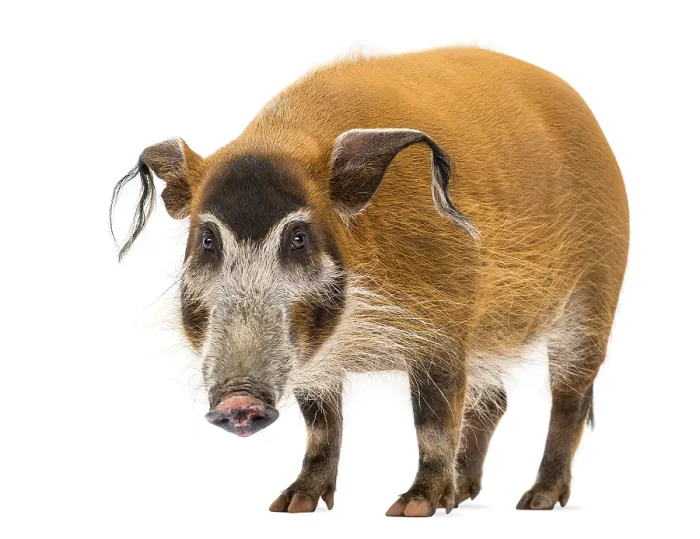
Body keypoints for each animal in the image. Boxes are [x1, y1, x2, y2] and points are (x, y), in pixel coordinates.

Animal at [110, 47, 629, 516]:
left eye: (298, 237)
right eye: (208, 239)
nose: (240, 399)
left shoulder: (442, 327)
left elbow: (434, 420)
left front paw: (412, 508)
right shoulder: (317, 362)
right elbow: (322, 425)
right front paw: (291, 506)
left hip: (594, 298)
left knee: (569, 398)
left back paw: (535, 501)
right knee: (495, 400)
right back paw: (463, 495)